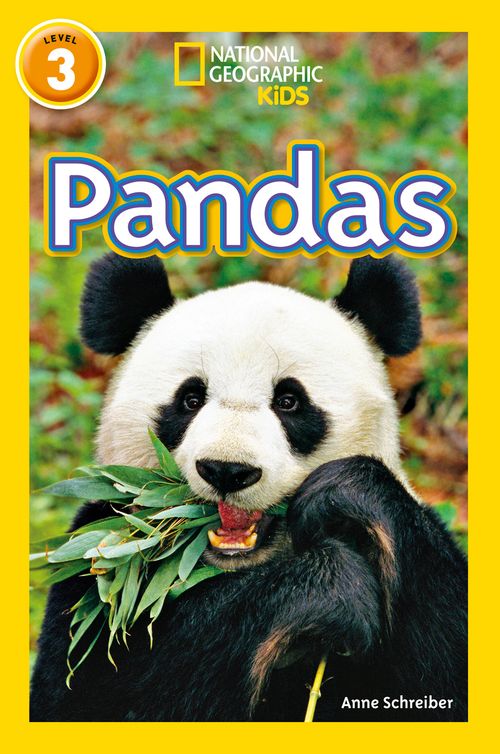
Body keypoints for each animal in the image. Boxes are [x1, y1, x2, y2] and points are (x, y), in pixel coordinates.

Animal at [30, 253, 467, 722]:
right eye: (190, 399)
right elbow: (96, 690)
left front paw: (346, 494)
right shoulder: (102, 563)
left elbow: (445, 663)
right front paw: (331, 587)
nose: (227, 470)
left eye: (289, 401)